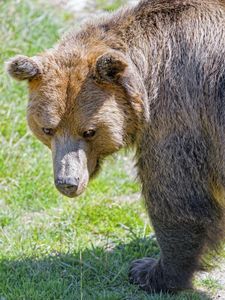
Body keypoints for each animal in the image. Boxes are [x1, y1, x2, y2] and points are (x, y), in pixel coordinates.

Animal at [5, 0, 225, 294]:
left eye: (89, 131)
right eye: (47, 129)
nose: (67, 182)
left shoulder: (179, 113)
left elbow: (176, 197)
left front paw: (150, 272)